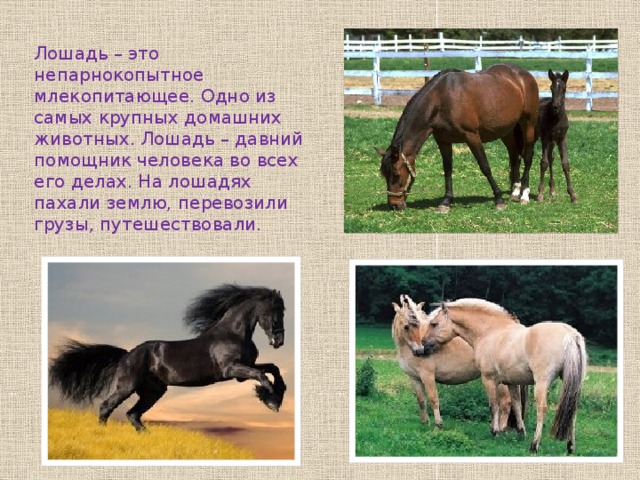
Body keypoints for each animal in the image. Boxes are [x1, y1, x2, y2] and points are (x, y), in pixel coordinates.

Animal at [49, 284, 287, 432]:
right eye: (275, 311)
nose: (279, 341)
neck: (233, 333)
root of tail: (127, 354)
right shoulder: (232, 369)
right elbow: (262, 376)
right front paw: (271, 401)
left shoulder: (243, 370)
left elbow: (273, 368)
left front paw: (275, 396)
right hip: (127, 387)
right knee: (107, 406)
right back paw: (104, 434)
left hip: (153, 392)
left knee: (133, 414)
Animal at [376, 64, 539, 212]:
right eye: (384, 175)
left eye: (396, 175)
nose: (394, 205)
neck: (442, 99)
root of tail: (524, 74)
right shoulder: (443, 141)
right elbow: (447, 170)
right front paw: (446, 202)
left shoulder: (472, 136)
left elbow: (485, 167)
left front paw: (499, 199)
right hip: (506, 131)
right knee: (514, 155)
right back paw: (515, 192)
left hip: (528, 124)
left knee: (527, 157)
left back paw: (524, 195)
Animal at [392, 294, 516, 429]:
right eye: (406, 326)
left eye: (419, 325)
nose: (420, 351)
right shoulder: (414, 378)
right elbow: (421, 401)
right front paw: (425, 423)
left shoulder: (427, 376)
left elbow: (433, 399)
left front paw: (438, 425)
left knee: (505, 403)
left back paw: (501, 428)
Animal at [420, 298, 587, 454]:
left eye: (434, 324)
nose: (423, 345)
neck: (491, 332)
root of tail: (570, 335)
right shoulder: (512, 382)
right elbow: (517, 406)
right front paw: (521, 432)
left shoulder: (488, 379)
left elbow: (494, 405)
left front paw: (495, 431)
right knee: (573, 410)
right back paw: (570, 447)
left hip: (542, 383)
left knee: (542, 409)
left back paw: (534, 445)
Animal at [536, 69, 577, 203]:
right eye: (551, 88)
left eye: (564, 89)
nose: (556, 106)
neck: (556, 118)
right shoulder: (545, 137)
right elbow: (543, 163)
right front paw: (540, 194)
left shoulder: (561, 138)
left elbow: (565, 164)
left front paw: (572, 195)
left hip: (552, 141)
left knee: (551, 157)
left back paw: (552, 190)